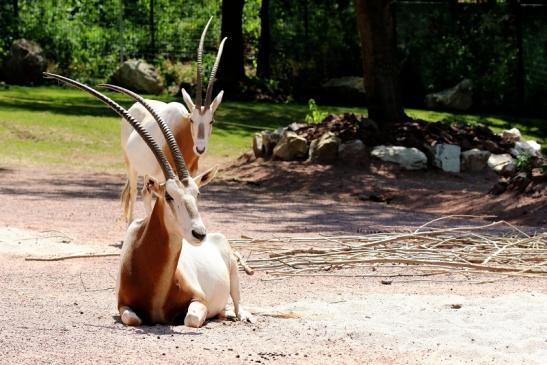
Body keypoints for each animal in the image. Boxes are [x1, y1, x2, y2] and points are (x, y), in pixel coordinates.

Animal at [44, 72, 255, 326]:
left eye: (197, 193)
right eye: (169, 196)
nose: (199, 234)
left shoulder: (199, 300)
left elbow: (190, 319)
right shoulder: (123, 305)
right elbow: (133, 319)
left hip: (233, 269)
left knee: (237, 301)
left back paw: (241, 315)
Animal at [117, 17, 227, 223]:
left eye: (212, 121)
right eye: (192, 120)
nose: (200, 148)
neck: (181, 135)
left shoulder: (191, 176)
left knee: (145, 192)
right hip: (132, 167)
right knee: (137, 193)